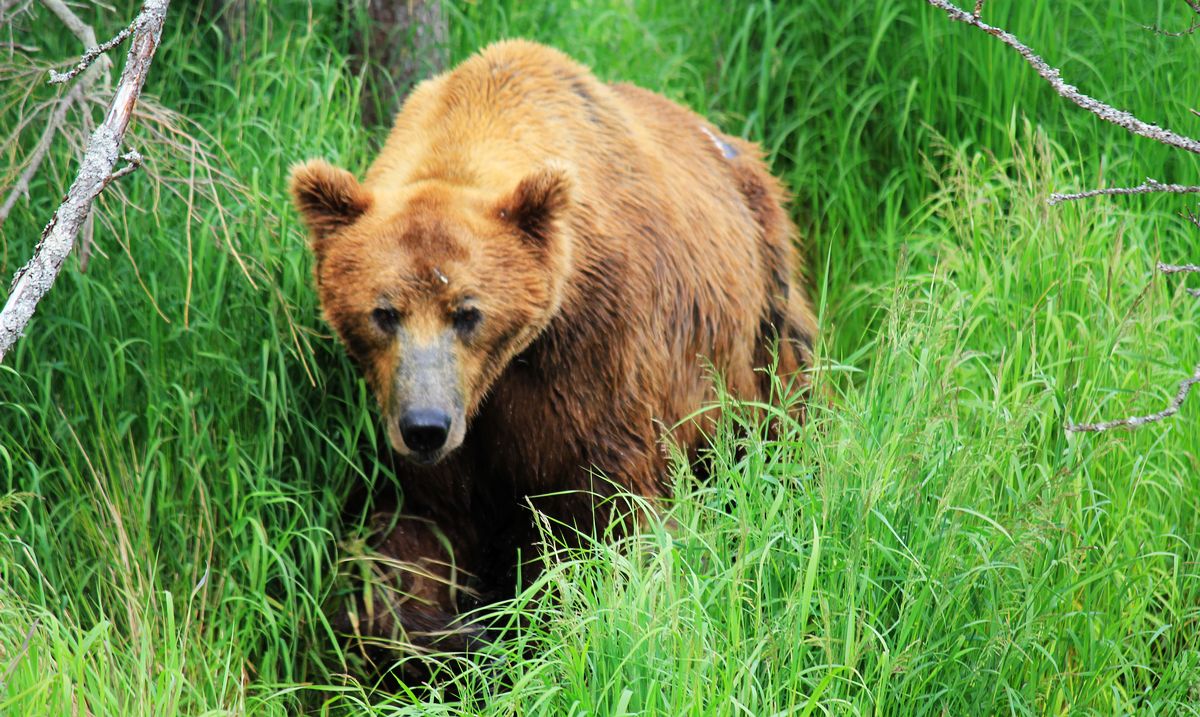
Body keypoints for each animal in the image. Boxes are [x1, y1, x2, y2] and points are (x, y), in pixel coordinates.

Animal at [288, 37, 816, 666]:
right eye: (384, 312)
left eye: (468, 311)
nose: (425, 427)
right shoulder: (439, 432)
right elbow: (414, 539)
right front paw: (447, 632)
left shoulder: (597, 353)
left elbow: (613, 509)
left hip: (759, 308)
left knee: (785, 414)